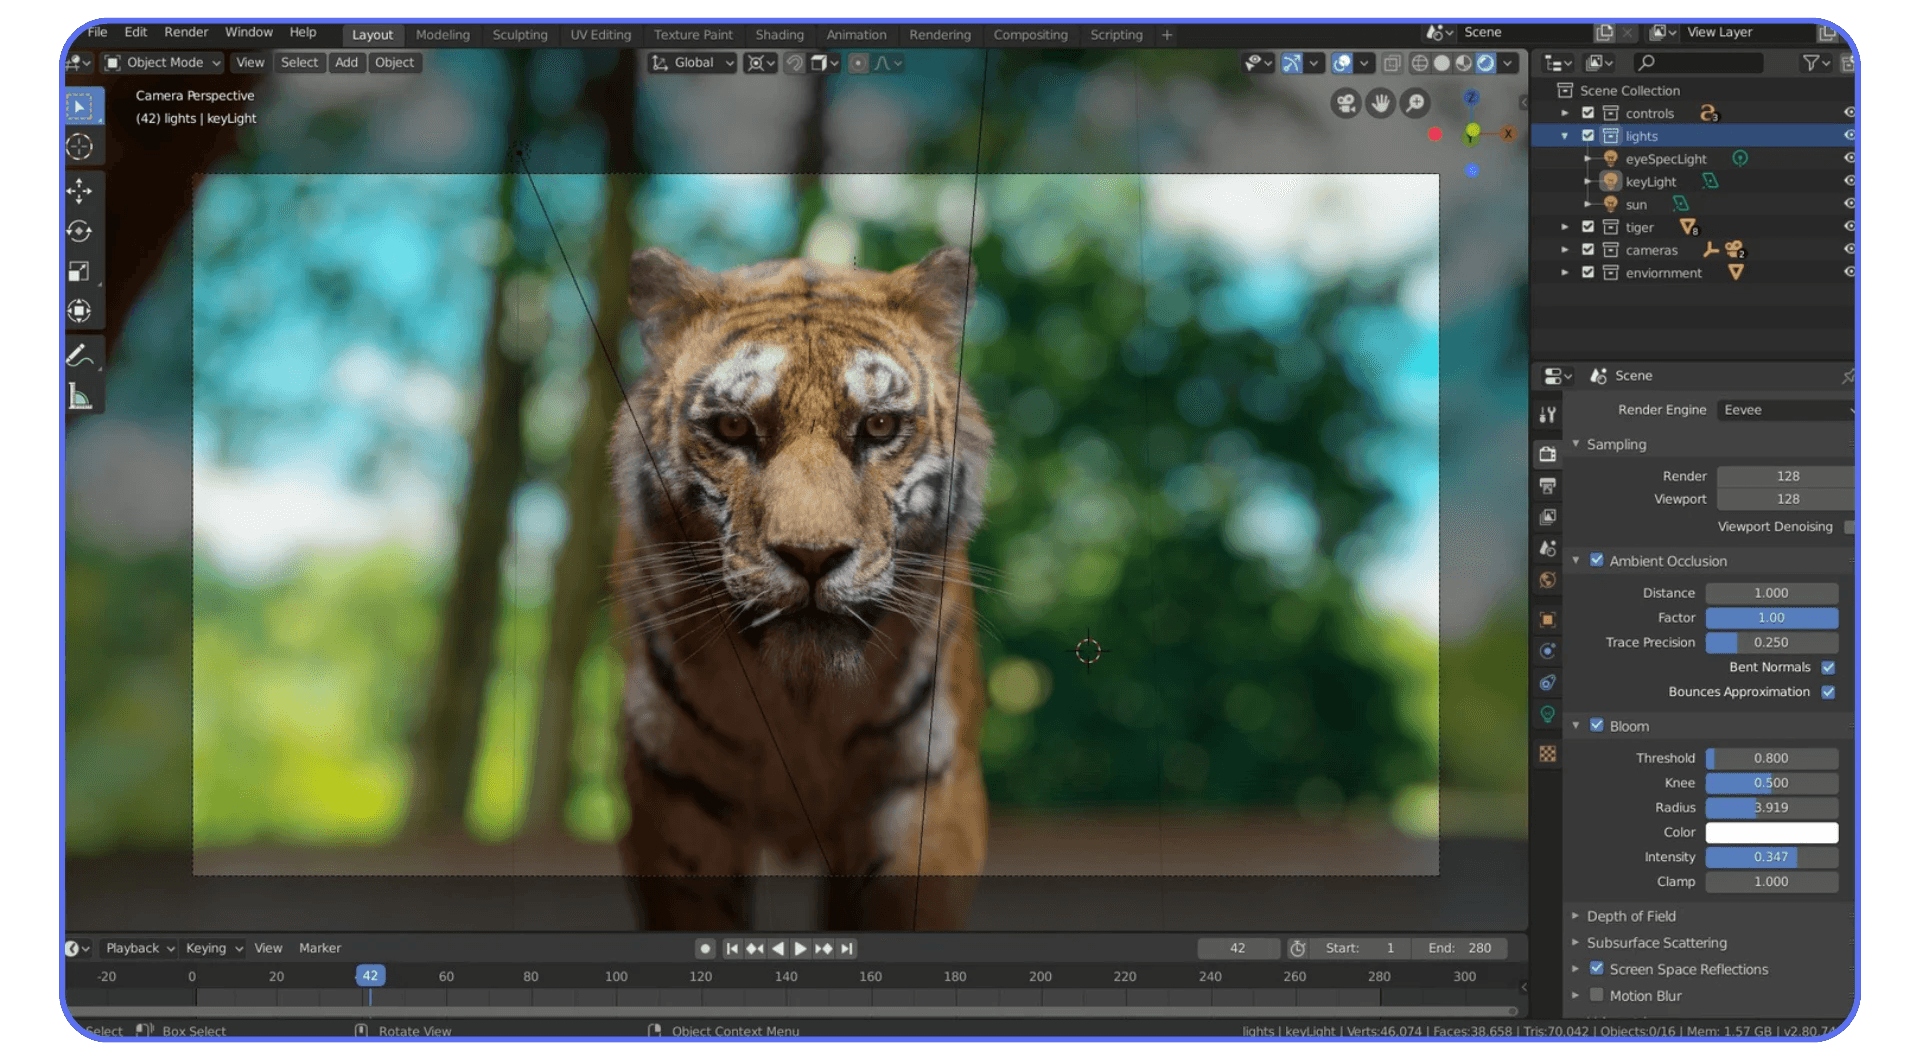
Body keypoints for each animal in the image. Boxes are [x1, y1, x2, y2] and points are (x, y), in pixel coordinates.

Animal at [607, 245, 995, 931]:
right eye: (734, 428)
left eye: (879, 426)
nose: (813, 558)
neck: (801, 701)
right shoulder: (678, 802)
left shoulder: (924, 796)